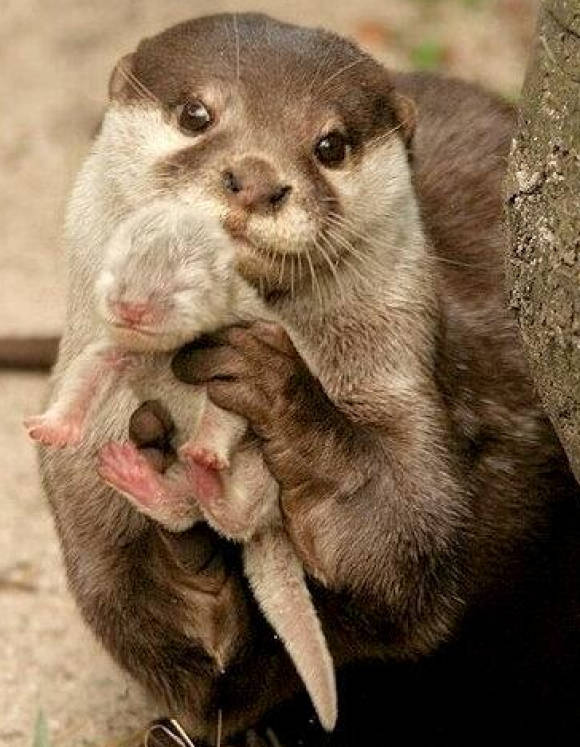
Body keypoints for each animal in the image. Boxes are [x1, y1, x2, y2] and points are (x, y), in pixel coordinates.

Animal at [36, 11, 580, 745]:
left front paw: (275, 388)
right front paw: (184, 549)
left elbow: (410, 545)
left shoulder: (416, 391)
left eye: (331, 145)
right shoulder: (80, 489)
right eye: (195, 114)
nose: (256, 178)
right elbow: (156, 640)